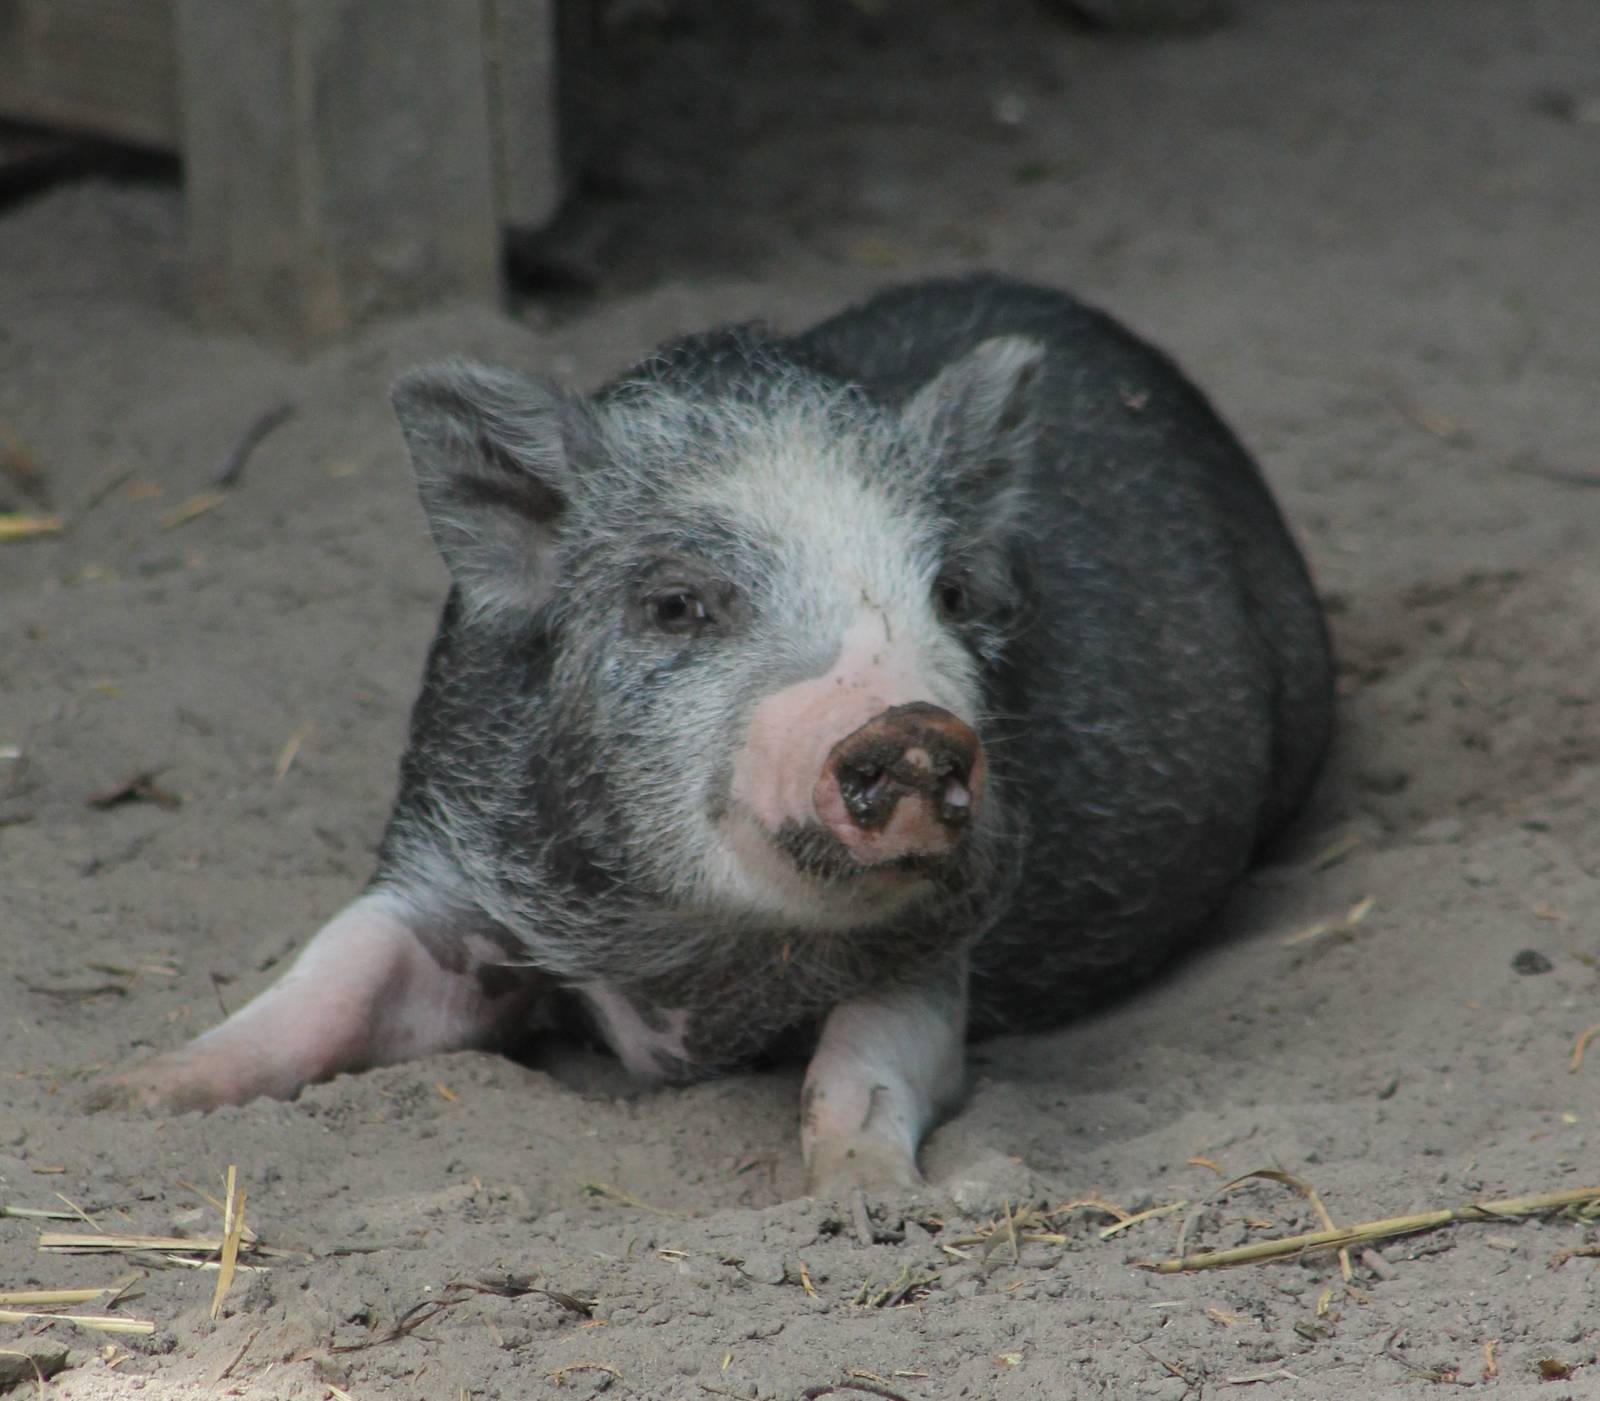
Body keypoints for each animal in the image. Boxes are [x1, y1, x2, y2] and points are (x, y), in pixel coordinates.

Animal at [92, 274, 1333, 1197]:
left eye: (948, 592)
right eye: (679, 604)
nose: (909, 721)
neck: (691, 962)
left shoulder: (944, 939)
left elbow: (868, 1061)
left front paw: (868, 1198)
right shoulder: (448, 862)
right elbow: (333, 976)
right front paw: (127, 1095)